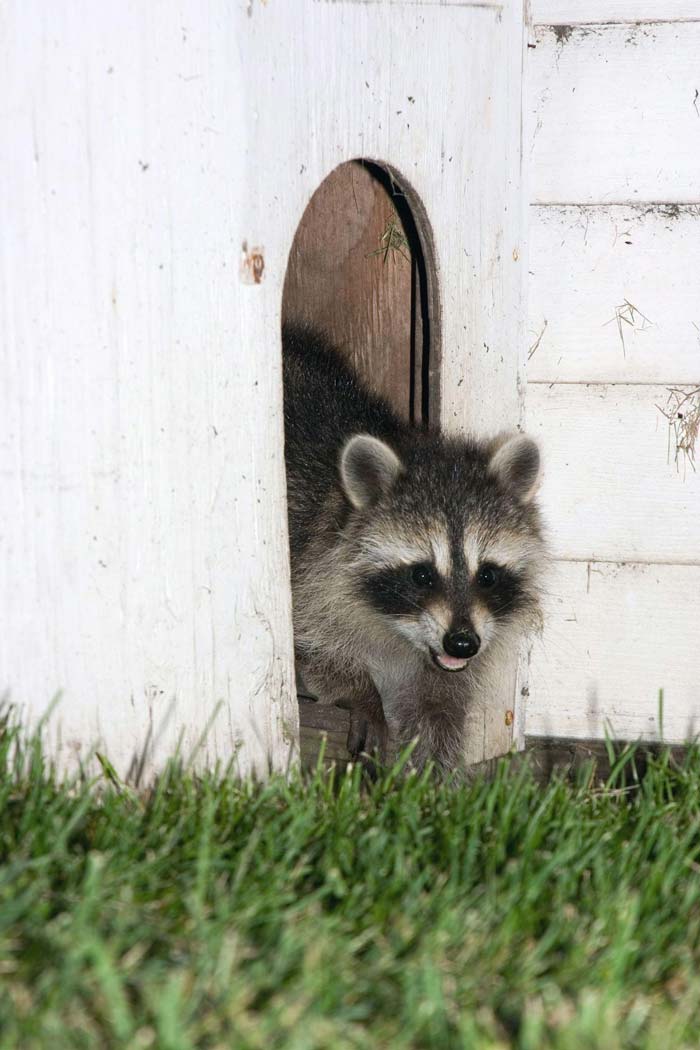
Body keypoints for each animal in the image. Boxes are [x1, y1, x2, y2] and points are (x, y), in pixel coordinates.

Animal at [282, 325, 546, 773]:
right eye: (421, 574)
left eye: (487, 574)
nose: (462, 643)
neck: (398, 635)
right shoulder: (307, 569)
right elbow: (316, 651)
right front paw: (361, 691)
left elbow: (440, 711)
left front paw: (431, 778)